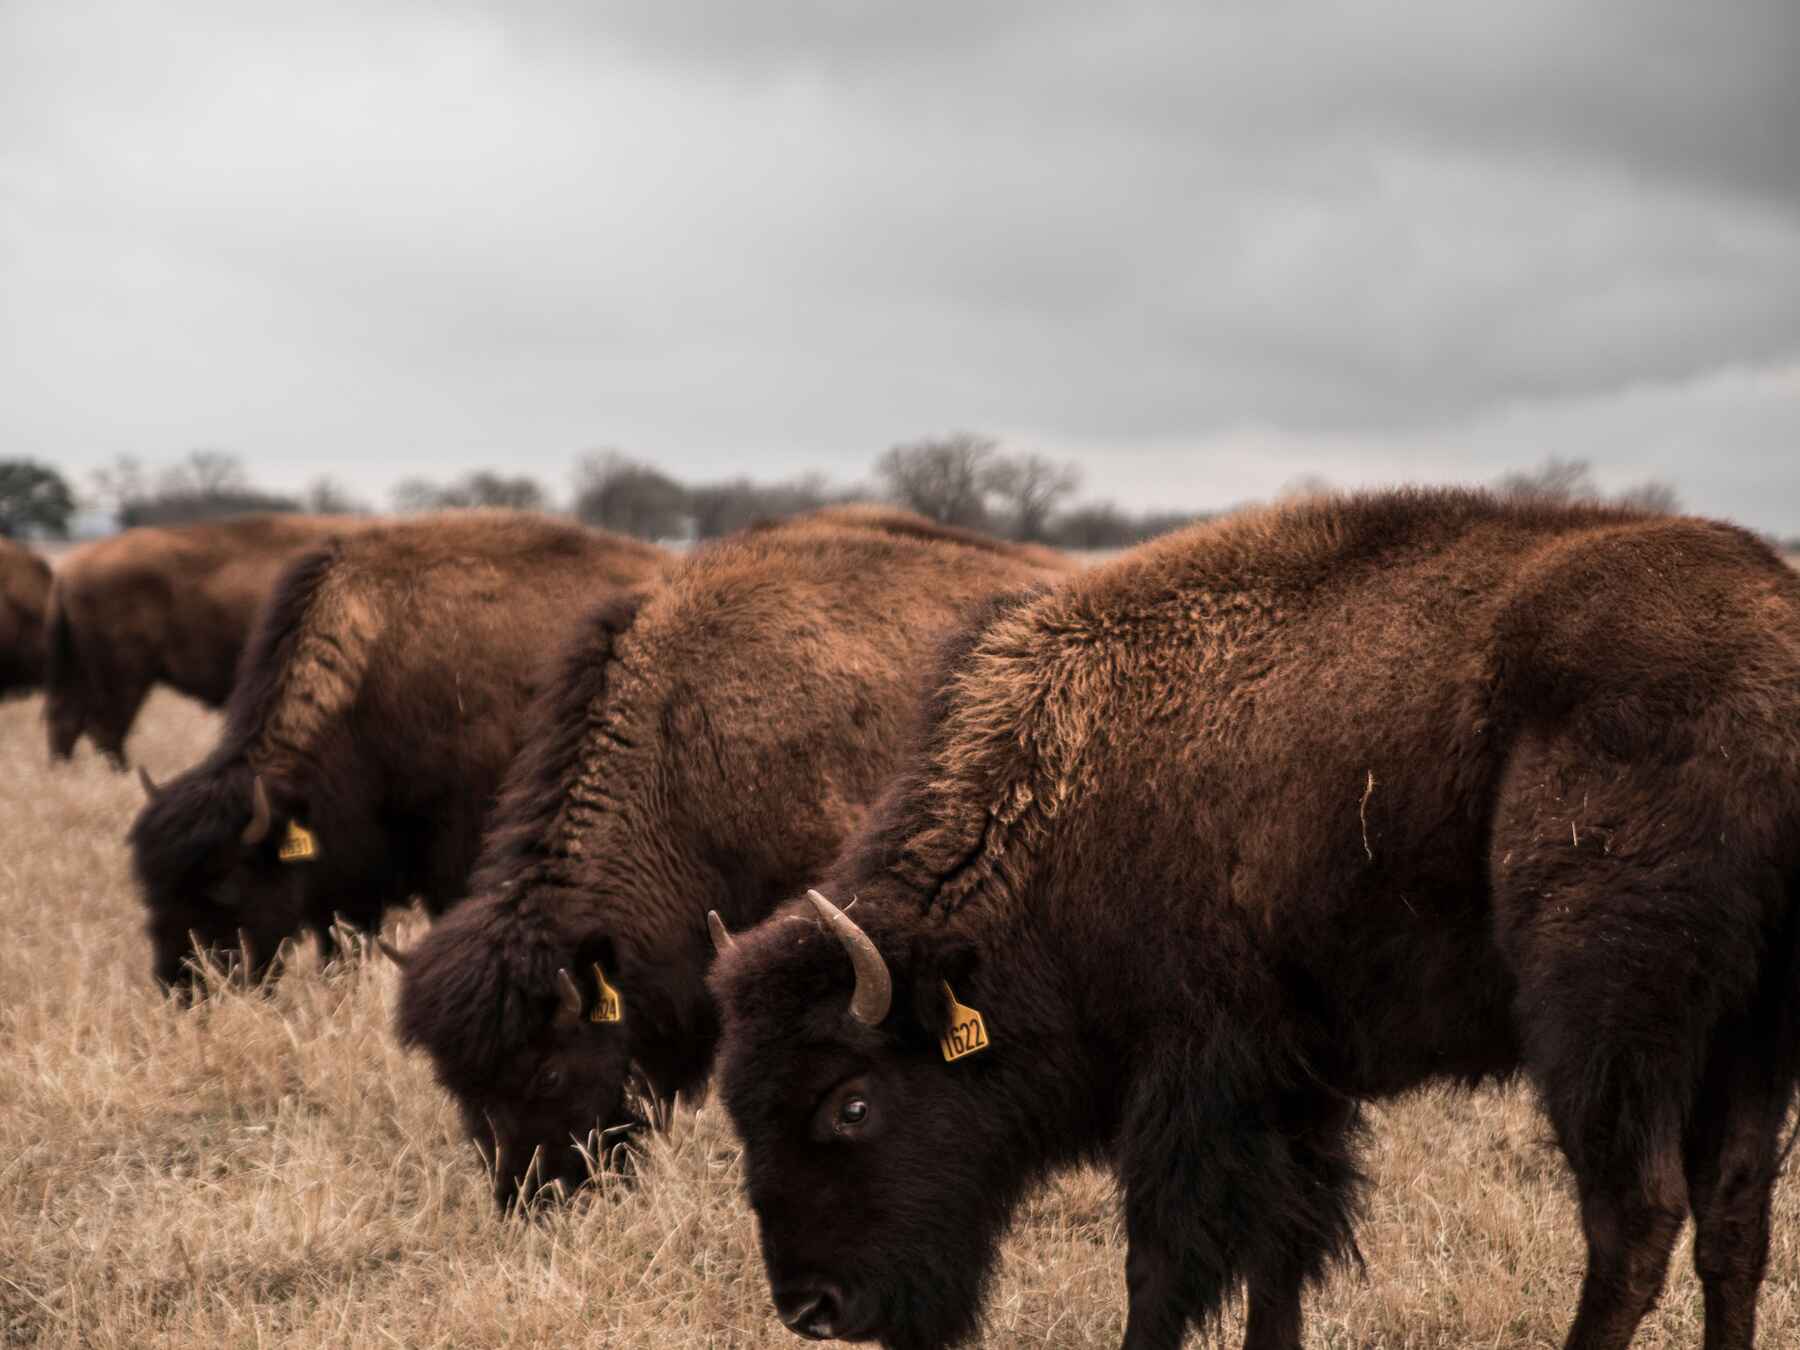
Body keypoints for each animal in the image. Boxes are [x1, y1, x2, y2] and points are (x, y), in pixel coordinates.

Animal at [712, 489, 1800, 1350]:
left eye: (852, 1103)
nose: (810, 1307)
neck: (1072, 788)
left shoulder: (1197, 1076)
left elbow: (1164, 1265)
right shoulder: (1297, 1082)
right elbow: (1284, 1254)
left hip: (1605, 1027)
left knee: (1635, 1221)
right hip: (1748, 1039)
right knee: (1734, 1222)